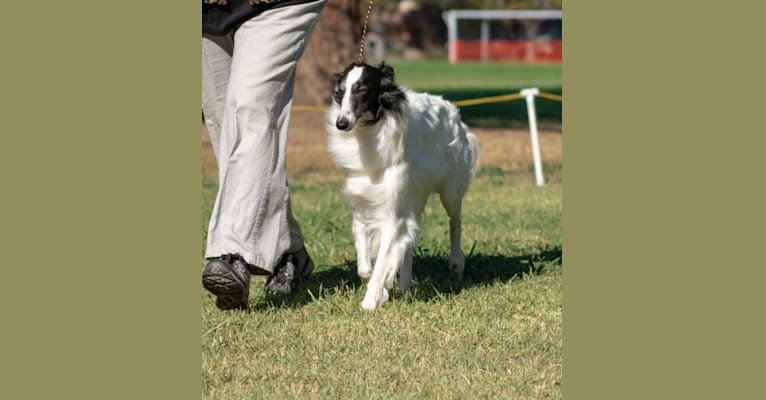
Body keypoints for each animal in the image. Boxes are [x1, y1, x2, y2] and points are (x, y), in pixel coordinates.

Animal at [326, 62, 480, 310]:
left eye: (362, 90)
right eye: (340, 92)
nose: (341, 124)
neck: (371, 131)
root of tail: (451, 110)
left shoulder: (393, 212)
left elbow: (382, 261)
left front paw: (371, 300)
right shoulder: (363, 201)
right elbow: (365, 264)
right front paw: (381, 285)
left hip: (450, 191)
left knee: (454, 221)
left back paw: (456, 263)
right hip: (413, 197)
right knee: (409, 240)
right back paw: (404, 285)